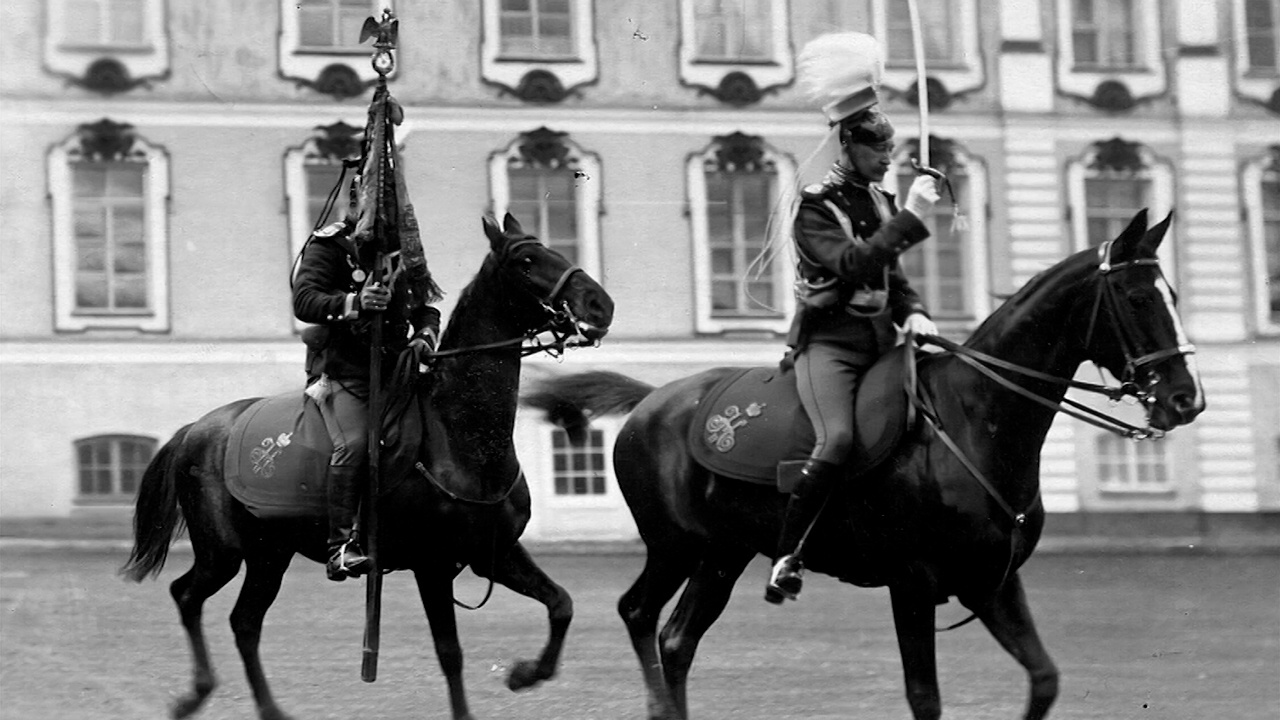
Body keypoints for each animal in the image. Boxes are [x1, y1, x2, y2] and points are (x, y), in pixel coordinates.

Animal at [121, 213, 614, 720]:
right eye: (527, 260)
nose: (600, 305)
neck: (461, 437)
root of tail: (195, 429)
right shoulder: (432, 566)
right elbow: (450, 653)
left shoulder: (495, 554)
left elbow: (561, 604)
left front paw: (526, 674)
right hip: (223, 552)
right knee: (187, 595)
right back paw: (196, 692)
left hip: (269, 554)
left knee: (244, 622)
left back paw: (268, 708)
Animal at [523, 209, 1204, 720]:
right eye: (1137, 297)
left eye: (1172, 294)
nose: (1185, 398)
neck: (972, 419)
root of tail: (653, 399)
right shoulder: (914, 584)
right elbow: (925, 699)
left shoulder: (993, 583)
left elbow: (1044, 679)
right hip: (675, 547)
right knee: (640, 615)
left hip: (722, 556)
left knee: (677, 639)